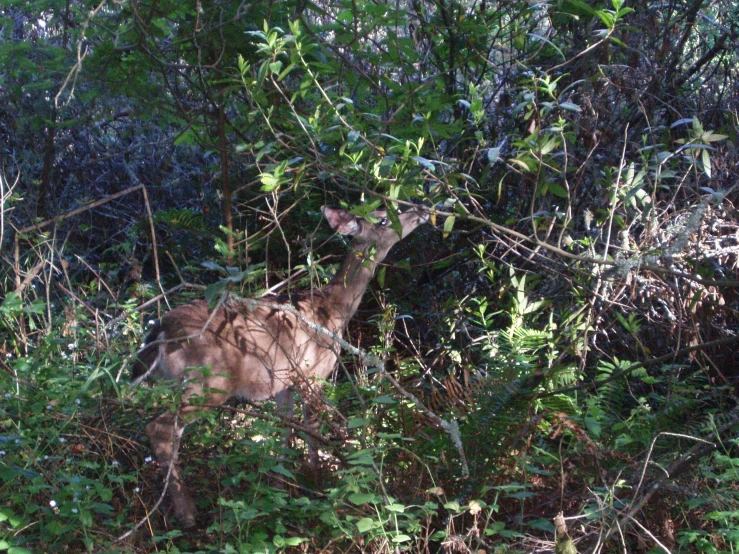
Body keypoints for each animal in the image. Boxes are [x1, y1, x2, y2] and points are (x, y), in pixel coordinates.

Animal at [133, 204, 428, 528]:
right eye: (384, 218)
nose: (422, 209)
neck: (334, 308)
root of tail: (159, 332)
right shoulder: (314, 372)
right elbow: (311, 430)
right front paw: (318, 483)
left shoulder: (284, 381)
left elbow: (286, 430)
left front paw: (278, 487)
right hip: (211, 382)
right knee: (159, 428)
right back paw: (187, 513)